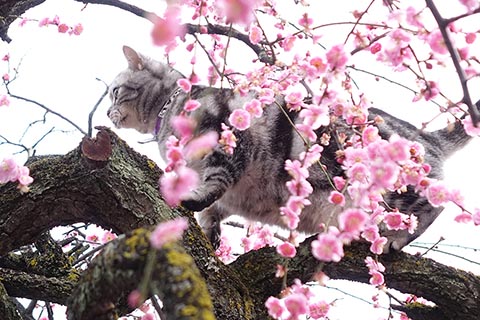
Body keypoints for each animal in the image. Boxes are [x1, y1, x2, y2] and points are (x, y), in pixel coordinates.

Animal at [107, 46, 470, 252]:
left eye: (113, 91)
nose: (107, 113)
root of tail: (429, 137)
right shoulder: (232, 192)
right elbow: (215, 210)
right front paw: (210, 234)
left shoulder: (227, 144)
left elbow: (215, 183)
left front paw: (191, 201)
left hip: (398, 191)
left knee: (436, 205)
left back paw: (395, 237)